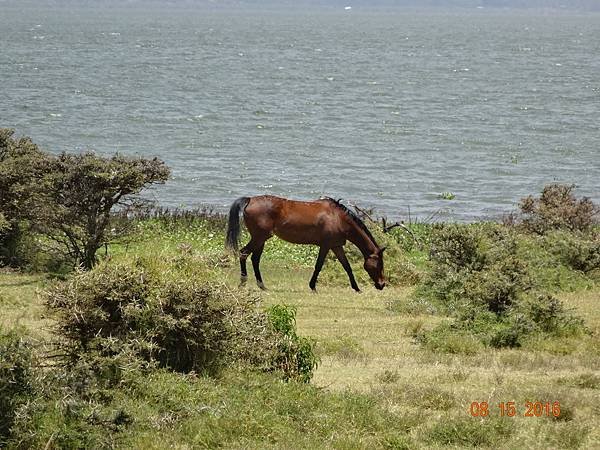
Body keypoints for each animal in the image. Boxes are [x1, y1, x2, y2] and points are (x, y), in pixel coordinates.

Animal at [224, 194, 384, 292]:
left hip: (261, 239)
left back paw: (262, 285)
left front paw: (356, 288)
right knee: (243, 253)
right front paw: (312, 286)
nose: (382, 285)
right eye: (379, 264)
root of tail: (250, 200)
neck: (338, 218)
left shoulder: (336, 246)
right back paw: (243, 282)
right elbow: (318, 266)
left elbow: (347, 267)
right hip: (259, 238)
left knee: (254, 259)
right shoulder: (326, 246)